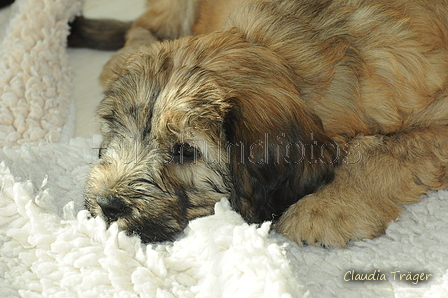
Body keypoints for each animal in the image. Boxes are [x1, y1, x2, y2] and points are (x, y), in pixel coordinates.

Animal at [72, 0, 448, 247]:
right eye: (119, 132)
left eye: (185, 152)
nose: (107, 204)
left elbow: (393, 151)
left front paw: (325, 209)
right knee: (146, 24)